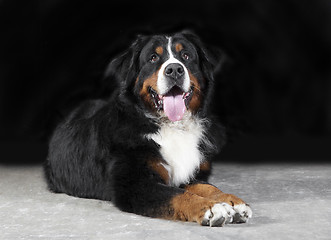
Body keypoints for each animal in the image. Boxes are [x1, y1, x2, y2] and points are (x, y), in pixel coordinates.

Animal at [43, 30, 252, 227]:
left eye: (186, 56)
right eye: (153, 58)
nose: (174, 70)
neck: (172, 126)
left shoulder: (191, 175)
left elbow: (208, 187)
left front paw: (232, 202)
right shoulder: (134, 184)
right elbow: (176, 195)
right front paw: (210, 208)